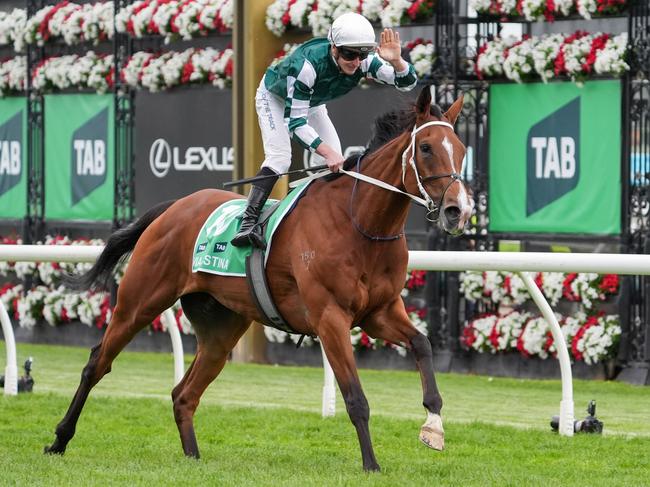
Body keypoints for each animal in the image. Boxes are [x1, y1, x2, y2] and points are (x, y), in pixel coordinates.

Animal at [44, 85, 470, 472]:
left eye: (461, 149)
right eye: (426, 148)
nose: (458, 210)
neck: (359, 223)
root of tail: (175, 207)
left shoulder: (379, 312)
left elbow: (422, 345)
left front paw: (433, 427)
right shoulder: (330, 317)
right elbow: (356, 398)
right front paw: (371, 465)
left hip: (220, 327)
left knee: (184, 393)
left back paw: (193, 458)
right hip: (140, 300)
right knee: (98, 363)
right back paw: (59, 440)